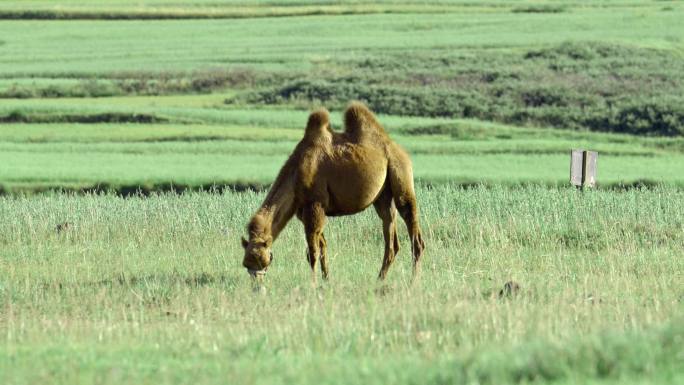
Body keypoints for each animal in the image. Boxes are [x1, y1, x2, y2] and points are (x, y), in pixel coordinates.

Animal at [239, 101, 422, 282]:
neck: (296, 174)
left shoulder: (315, 204)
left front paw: (312, 284)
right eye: (245, 263)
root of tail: (400, 150)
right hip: (383, 196)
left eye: (262, 259)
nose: (256, 283)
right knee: (390, 235)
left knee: (412, 226)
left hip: (400, 171)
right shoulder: (305, 212)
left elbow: (312, 252)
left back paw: (413, 281)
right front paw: (326, 280)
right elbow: (322, 247)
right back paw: (380, 279)